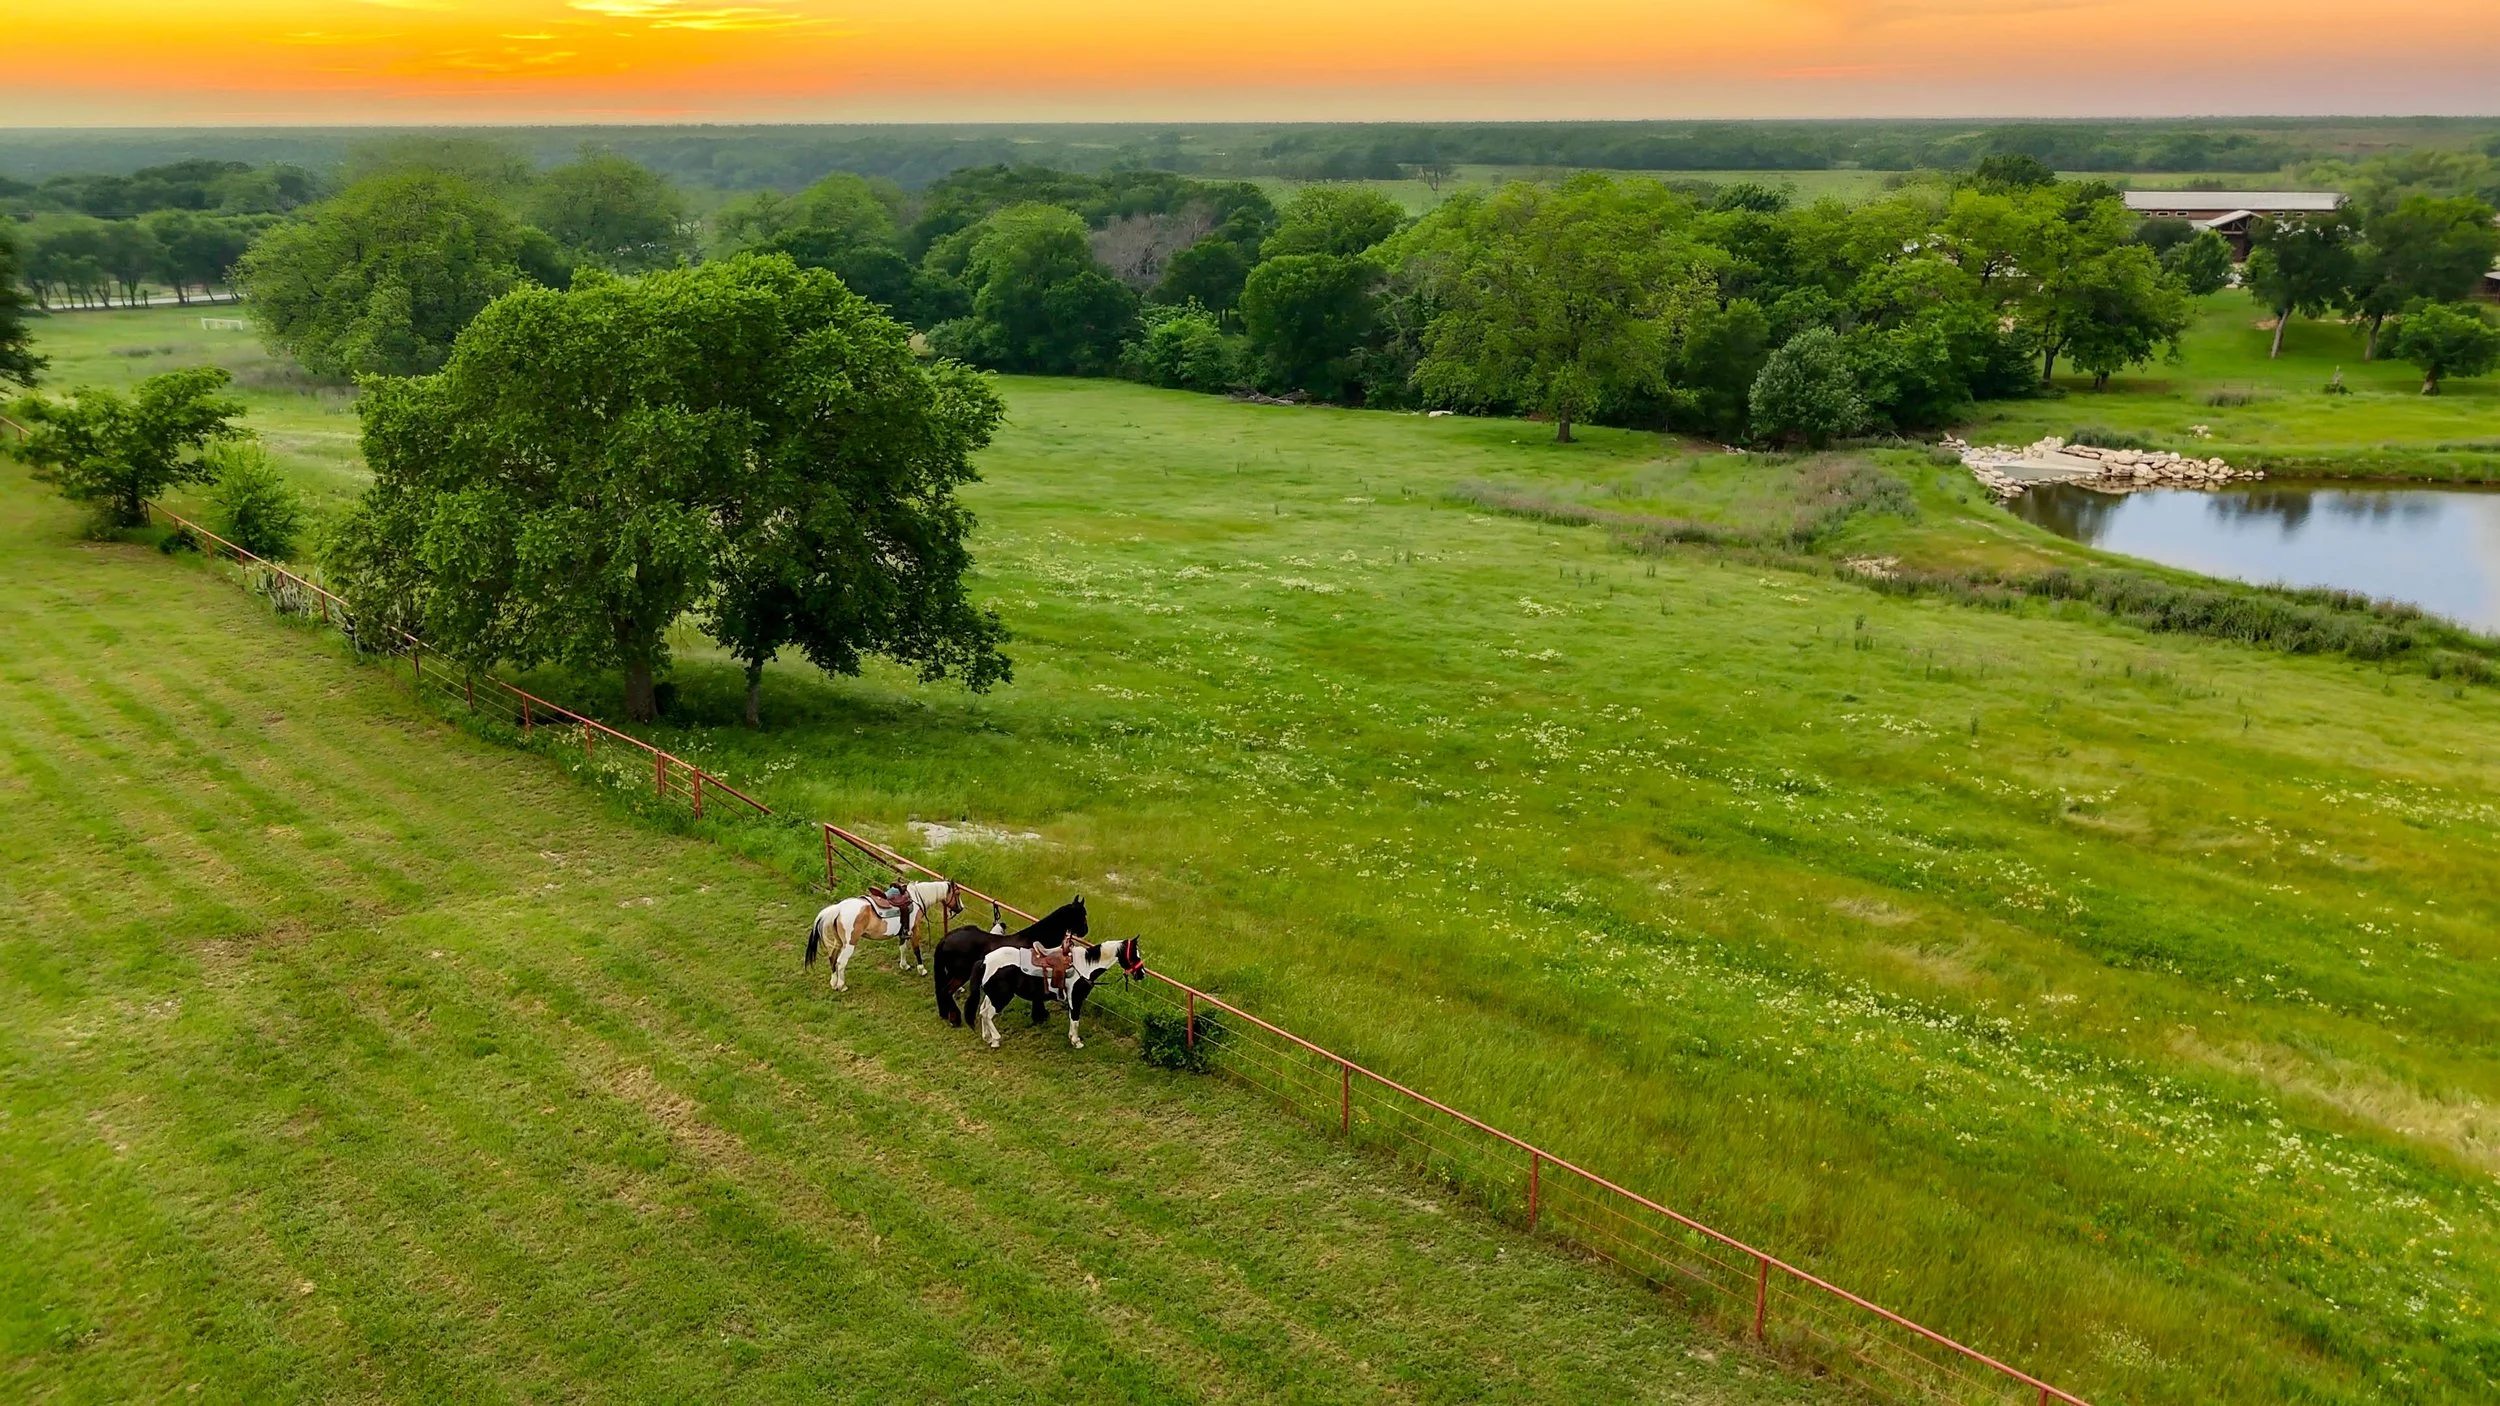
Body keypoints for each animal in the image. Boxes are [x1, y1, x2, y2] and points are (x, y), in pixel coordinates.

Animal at [931, 896, 1087, 1026]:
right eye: (1082, 915)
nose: (1085, 930)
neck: (1035, 940)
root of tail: (946, 938)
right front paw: (1040, 1016)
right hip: (960, 975)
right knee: (946, 991)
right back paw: (955, 1019)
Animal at [970, 937, 1145, 1050]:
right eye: (1135, 955)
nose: (1141, 974)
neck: (1085, 966)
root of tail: (985, 961)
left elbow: (1072, 1019)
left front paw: (1072, 1038)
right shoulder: (1076, 998)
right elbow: (1075, 1019)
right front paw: (1076, 1042)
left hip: (992, 996)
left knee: (982, 1011)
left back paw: (987, 1038)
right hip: (1000, 998)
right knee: (987, 1015)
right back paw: (996, 1040)